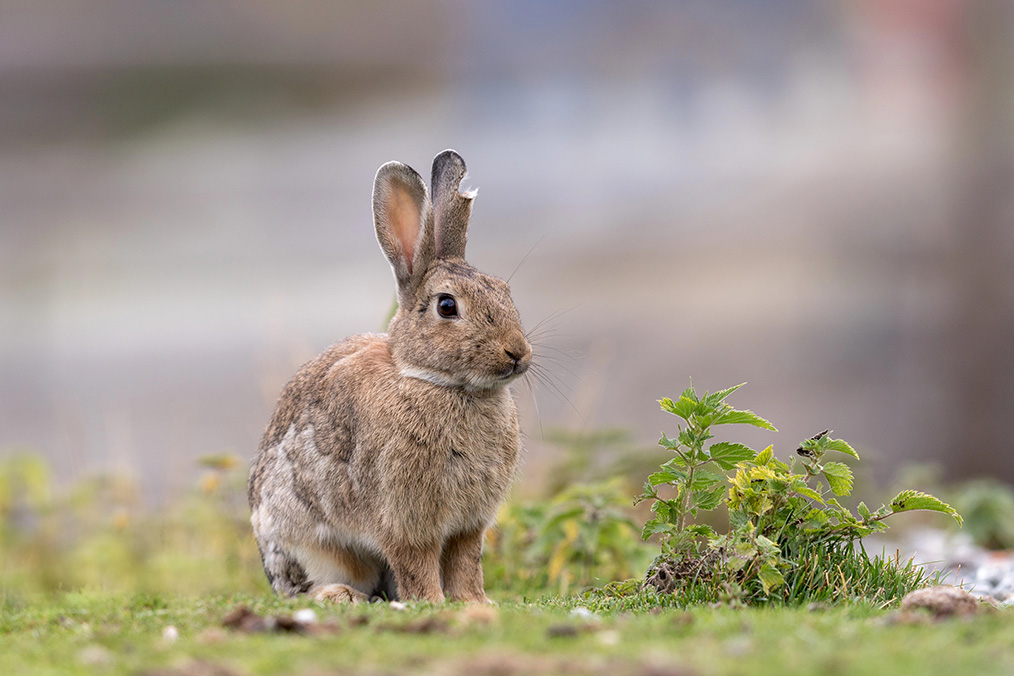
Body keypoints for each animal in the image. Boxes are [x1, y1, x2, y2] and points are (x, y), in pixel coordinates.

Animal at [248, 150, 531, 604]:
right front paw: (432, 602)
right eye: (447, 306)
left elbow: (466, 563)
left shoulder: (469, 524)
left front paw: (475, 602)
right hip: (307, 545)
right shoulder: (404, 519)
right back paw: (341, 596)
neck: (437, 381)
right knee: (309, 586)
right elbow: (416, 562)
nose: (517, 353)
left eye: (503, 290)